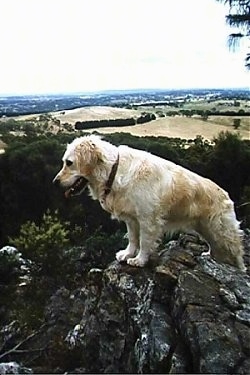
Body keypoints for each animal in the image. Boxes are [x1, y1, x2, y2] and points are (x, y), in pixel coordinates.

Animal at [53, 135, 246, 274]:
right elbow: (132, 238)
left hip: (222, 231)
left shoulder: (148, 219)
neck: (113, 172)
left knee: (237, 253)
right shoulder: (131, 219)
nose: (55, 182)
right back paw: (209, 256)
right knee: (214, 247)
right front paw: (127, 254)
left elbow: (144, 241)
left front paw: (139, 260)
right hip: (205, 228)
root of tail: (226, 195)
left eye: (69, 163)